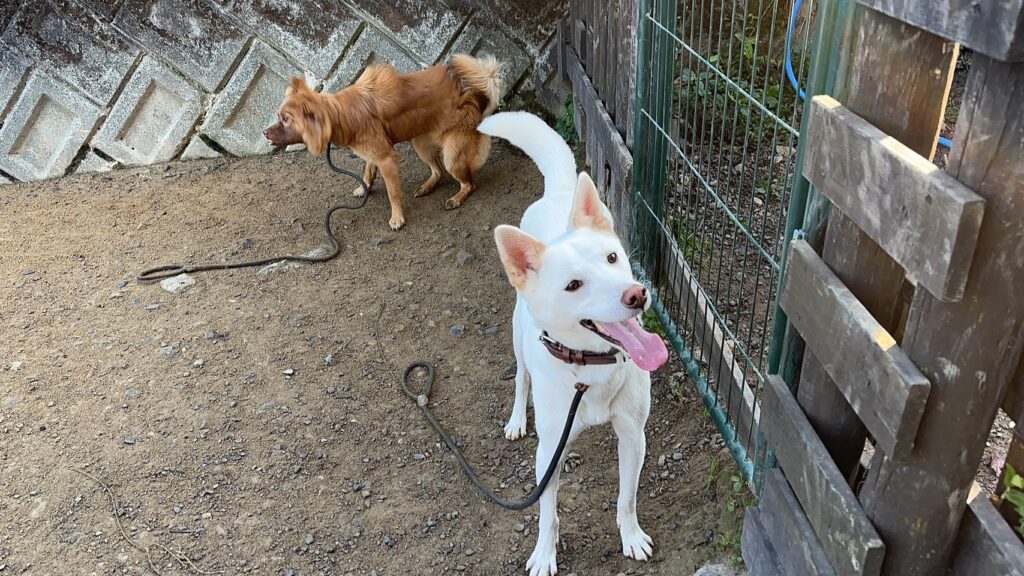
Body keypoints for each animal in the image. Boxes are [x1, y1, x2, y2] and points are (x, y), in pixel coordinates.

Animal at [263, 54, 501, 230]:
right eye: (279, 117)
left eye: (285, 119)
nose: (264, 132)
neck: (339, 114)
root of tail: (468, 95)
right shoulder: (374, 152)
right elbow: (368, 171)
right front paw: (364, 188)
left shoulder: (386, 158)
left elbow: (392, 193)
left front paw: (397, 219)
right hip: (421, 144)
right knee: (438, 171)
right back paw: (426, 187)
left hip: (452, 155)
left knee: (469, 183)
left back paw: (457, 198)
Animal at [480, 111, 670, 576]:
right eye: (573, 285)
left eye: (613, 258)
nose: (637, 295)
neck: (590, 368)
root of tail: (560, 192)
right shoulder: (549, 451)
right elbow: (547, 513)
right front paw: (544, 554)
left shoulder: (633, 435)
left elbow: (626, 498)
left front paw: (631, 537)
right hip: (518, 335)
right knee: (521, 379)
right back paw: (517, 419)